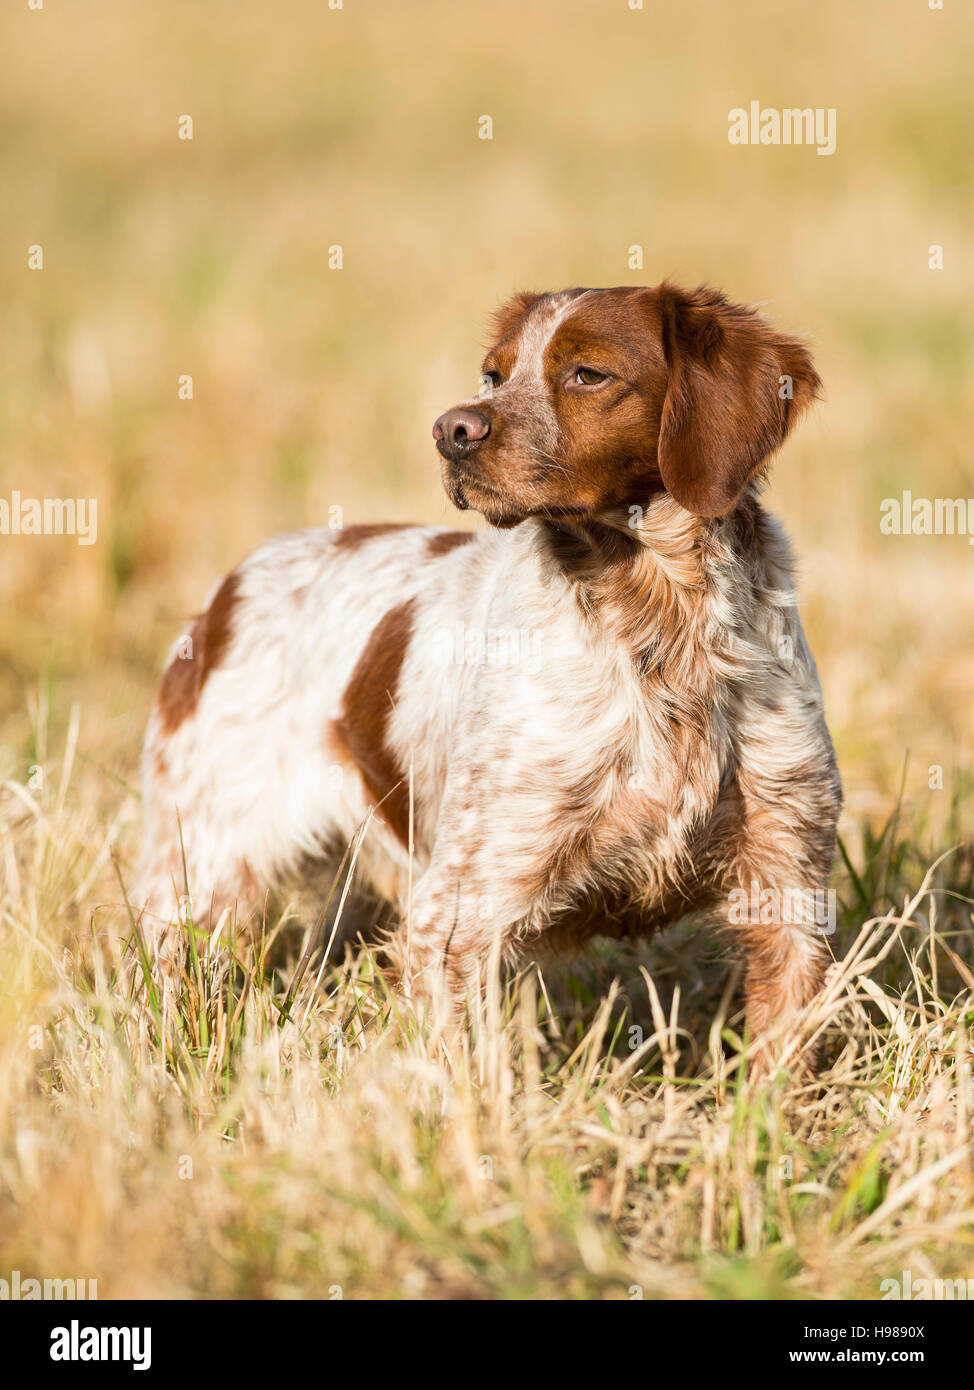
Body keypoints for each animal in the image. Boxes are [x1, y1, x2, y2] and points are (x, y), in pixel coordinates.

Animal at [138, 282, 844, 1061]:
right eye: (494, 374)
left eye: (588, 374)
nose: (451, 431)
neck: (661, 621)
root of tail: (225, 592)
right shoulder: (459, 909)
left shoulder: (788, 882)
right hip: (201, 869)